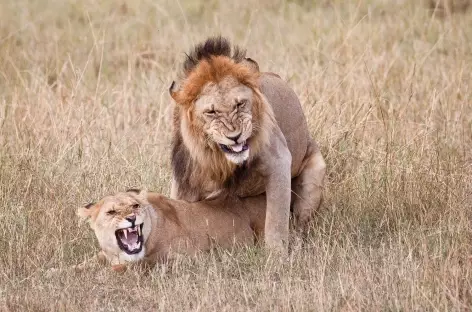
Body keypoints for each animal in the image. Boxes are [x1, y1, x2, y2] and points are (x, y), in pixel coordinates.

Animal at [79, 189, 268, 270]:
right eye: (111, 212)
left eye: (135, 206)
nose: (132, 218)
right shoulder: (105, 254)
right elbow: (88, 263)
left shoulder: (192, 258)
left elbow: (143, 263)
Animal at [169, 36, 324, 251]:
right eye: (211, 112)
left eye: (240, 104)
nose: (235, 136)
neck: (221, 160)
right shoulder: (185, 177)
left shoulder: (279, 161)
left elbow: (276, 222)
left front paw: (276, 256)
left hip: (312, 183)